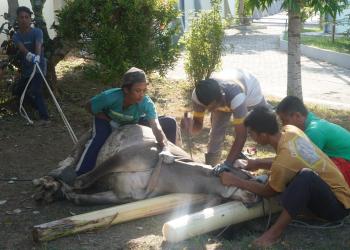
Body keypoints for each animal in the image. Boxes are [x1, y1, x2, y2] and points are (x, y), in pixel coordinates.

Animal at [32, 124, 258, 206]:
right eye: (248, 176)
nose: (256, 196)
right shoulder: (127, 155)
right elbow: (82, 180)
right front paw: (65, 186)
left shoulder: (123, 195)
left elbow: (89, 199)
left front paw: (69, 195)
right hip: (85, 139)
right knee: (69, 160)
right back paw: (47, 183)